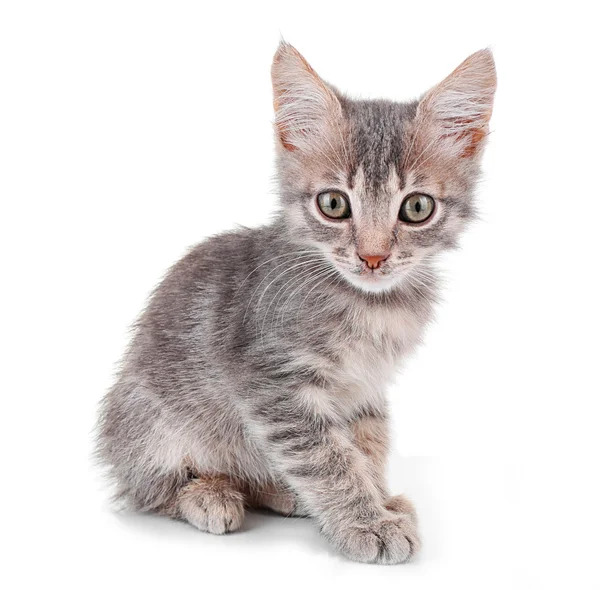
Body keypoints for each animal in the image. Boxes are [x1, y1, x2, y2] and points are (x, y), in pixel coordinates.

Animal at [95, 39, 496, 568]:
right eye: (333, 204)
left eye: (416, 207)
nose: (372, 257)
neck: (369, 305)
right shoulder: (274, 385)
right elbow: (326, 457)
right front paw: (366, 521)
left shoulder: (365, 389)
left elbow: (365, 447)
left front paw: (379, 501)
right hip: (151, 420)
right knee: (148, 488)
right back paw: (208, 494)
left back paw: (280, 492)